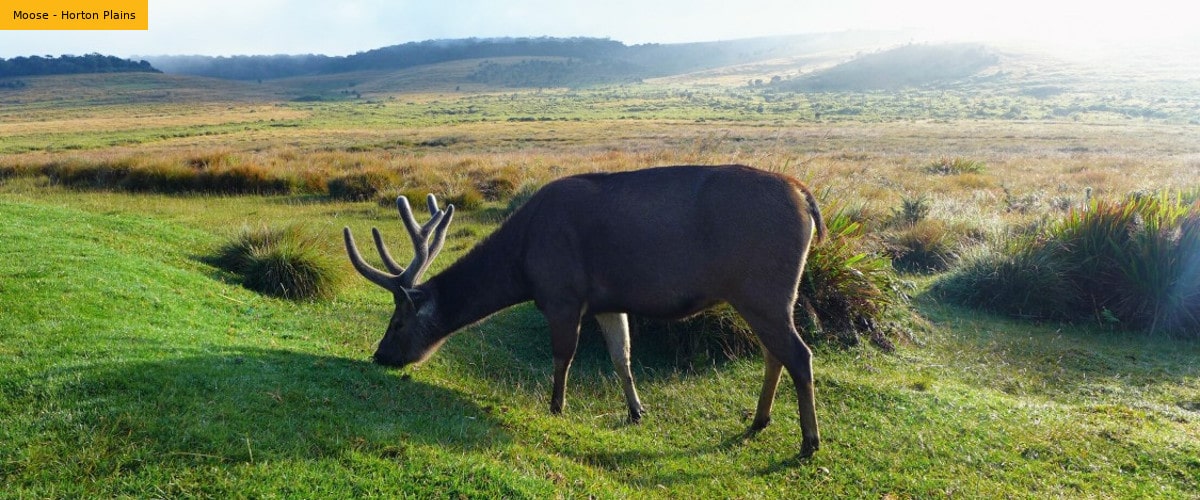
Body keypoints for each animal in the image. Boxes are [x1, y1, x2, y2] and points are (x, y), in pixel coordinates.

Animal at [345, 163, 825, 455]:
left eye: (397, 321)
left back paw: (808, 441)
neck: (522, 265)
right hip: (764, 294)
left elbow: (563, 356)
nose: (380, 355)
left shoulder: (562, 293)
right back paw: (760, 421)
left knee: (799, 354)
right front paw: (636, 411)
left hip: (763, 287)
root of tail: (807, 197)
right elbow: (621, 357)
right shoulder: (608, 301)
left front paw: (556, 407)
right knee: (775, 354)